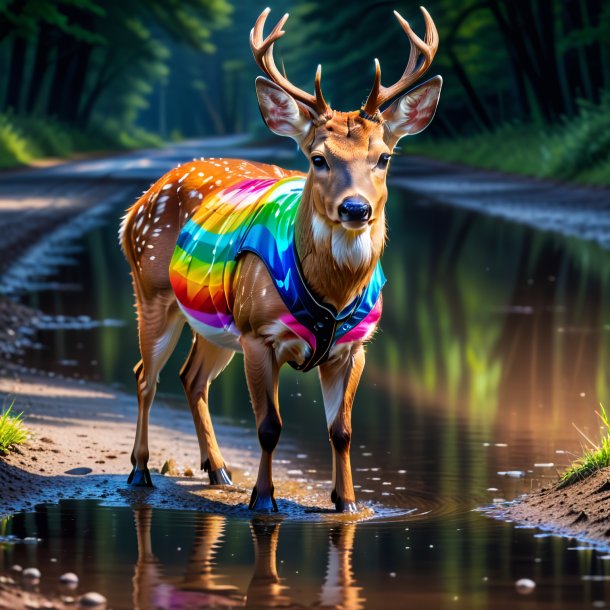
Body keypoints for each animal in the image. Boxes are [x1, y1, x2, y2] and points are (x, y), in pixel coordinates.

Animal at [119, 7, 440, 510]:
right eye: (318, 158)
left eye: (384, 157)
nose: (355, 209)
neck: (332, 295)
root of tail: (135, 208)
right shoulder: (257, 333)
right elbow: (269, 427)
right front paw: (264, 499)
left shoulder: (355, 347)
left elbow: (342, 431)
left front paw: (348, 502)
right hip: (151, 290)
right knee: (144, 376)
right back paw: (140, 470)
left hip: (214, 318)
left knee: (192, 378)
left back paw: (218, 470)